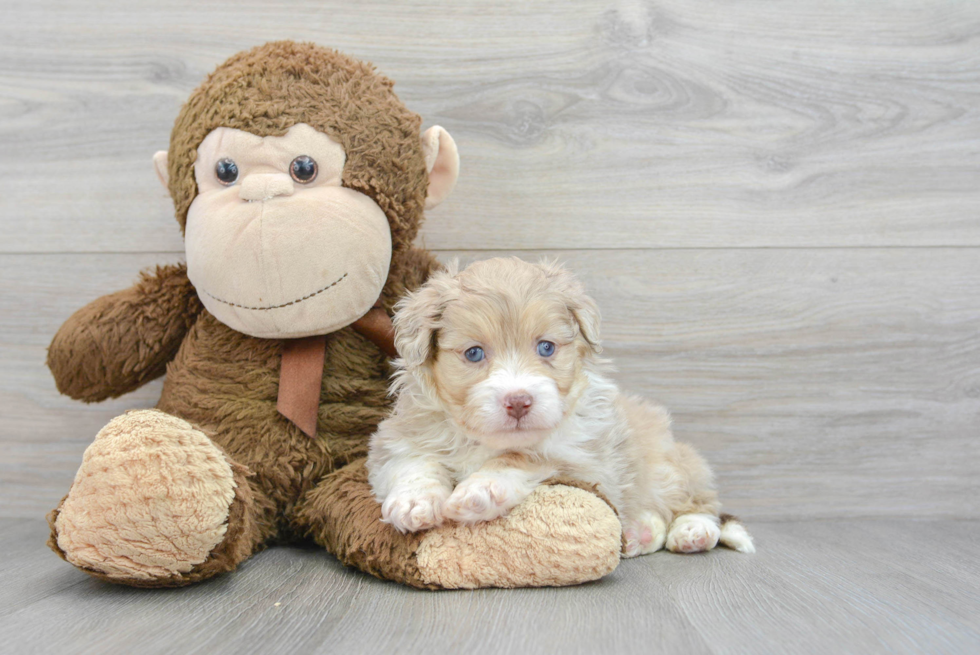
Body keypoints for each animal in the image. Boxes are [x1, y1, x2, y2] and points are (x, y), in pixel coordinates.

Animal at [370, 258, 756, 556]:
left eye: (546, 347)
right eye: (474, 353)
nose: (519, 401)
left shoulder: (584, 462)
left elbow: (522, 457)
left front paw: (482, 489)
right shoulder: (401, 434)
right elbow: (415, 462)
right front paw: (414, 502)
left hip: (671, 467)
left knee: (698, 503)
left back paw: (693, 531)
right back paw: (639, 535)